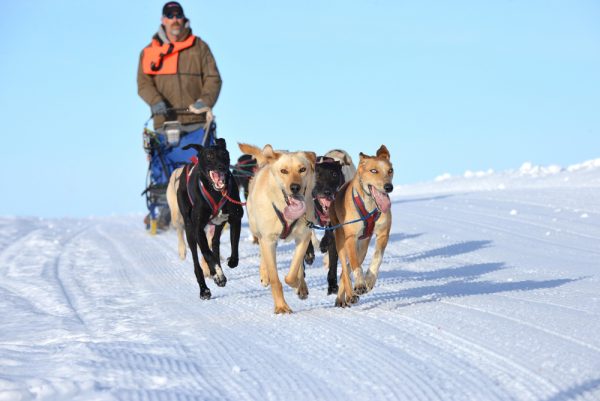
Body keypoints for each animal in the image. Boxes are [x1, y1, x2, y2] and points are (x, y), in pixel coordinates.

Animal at [165, 138, 243, 296]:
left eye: (225, 154)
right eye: (209, 156)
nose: (221, 167)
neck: (216, 192)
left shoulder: (235, 219)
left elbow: (234, 244)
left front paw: (231, 262)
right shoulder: (198, 228)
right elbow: (207, 254)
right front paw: (218, 275)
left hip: (218, 225)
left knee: (214, 242)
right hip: (189, 229)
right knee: (197, 258)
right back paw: (204, 288)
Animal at [238, 142, 316, 314]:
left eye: (302, 169)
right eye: (284, 171)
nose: (295, 187)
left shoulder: (304, 236)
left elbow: (293, 272)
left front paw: (297, 283)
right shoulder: (269, 239)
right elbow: (275, 279)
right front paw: (281, 306)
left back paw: (301, 285)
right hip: (257, 230)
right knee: (262, 253)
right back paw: (264, 274)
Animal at [308, 156, 344, 294]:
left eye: (334, 174)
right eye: (317, 175)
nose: (327, 191)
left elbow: (333, 262)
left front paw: (332, 284)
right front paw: (308, 254)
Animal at [328, 144, 394, 306]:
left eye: (390, 170)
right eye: (374, 171)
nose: (388, 187)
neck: (370, 206)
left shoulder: (383, 234)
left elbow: (377, 258)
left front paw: (369, 280)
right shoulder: (350, 238)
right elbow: (355, 266)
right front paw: (359, 284)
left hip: (362, 247)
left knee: (347, 269)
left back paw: (342, 297)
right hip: (341, 242)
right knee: (345, 270)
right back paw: (350, 295)